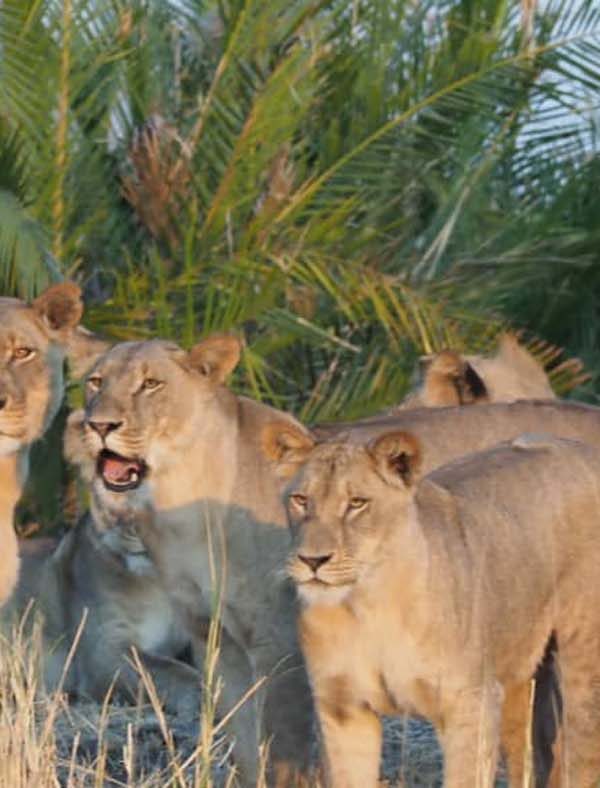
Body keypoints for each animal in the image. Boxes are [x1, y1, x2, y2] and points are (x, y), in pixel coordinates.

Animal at [74, 335, 315, 786]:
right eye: (96, 382)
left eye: (150, 384)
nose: (98, 426)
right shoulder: (215, 639)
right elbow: (244, 742)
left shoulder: (279, 642)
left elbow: (284, 753)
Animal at [262, 424, 600, 788]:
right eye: (300, 500)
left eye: (357, 503)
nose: (312, 560)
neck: (367, 606)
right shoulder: (342, 709)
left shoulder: (470, 704)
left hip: (581, 665)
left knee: (580, 758)